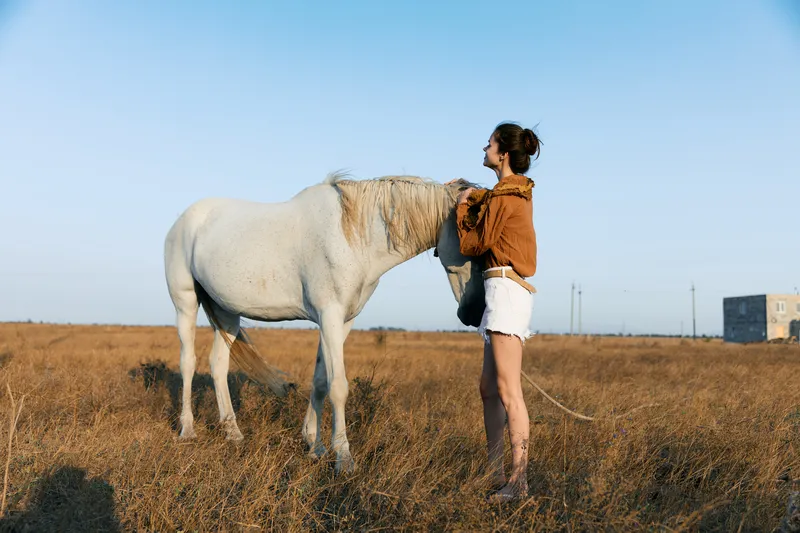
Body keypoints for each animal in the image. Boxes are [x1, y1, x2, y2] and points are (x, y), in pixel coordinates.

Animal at [163, 173, 485, 473]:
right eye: (471, 242)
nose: (472, 313)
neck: (354, 237)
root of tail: (182, 220)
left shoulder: (342, 321)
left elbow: (320, 380)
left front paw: (314, 445)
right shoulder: (329, 315)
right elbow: (338, 385)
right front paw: (343, 457)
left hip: (227, 312)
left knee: (218, 365)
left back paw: (233, 432)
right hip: (185, 303)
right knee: (188, 362)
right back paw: (187, 430)